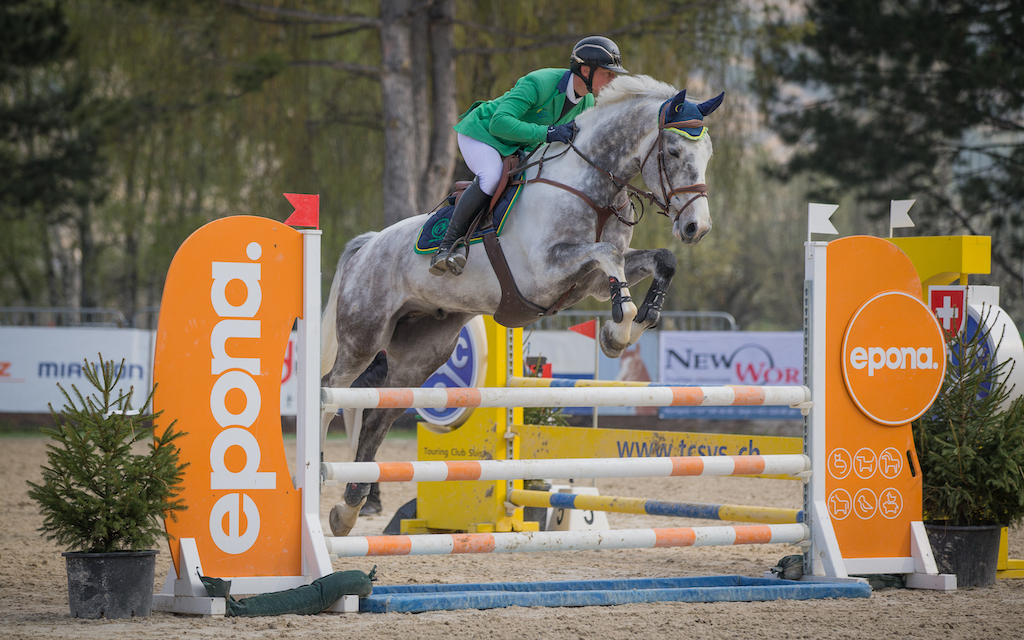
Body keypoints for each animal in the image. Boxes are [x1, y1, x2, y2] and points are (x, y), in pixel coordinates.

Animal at [319, 76, 720, 532]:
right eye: (673, 152)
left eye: (708, 154)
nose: (697, 228)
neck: (591, 185)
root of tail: (368, 243)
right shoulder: (547, 272)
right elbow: (608, 255)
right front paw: (618, 332)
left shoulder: (590, 284)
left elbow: (657, 262)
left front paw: (632, 323)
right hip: (364, 338)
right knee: (332, 393)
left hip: (422, 352)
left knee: (377, 418)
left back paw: (348, 509)